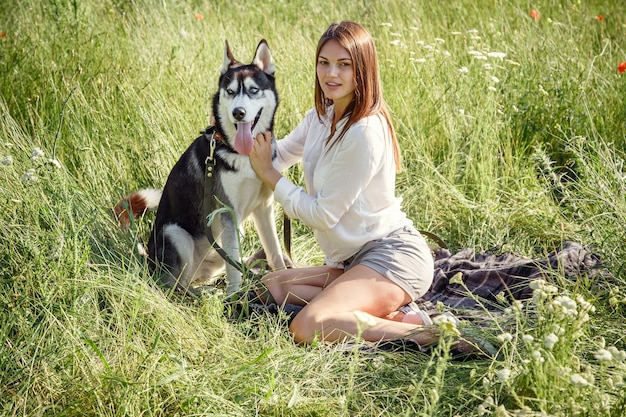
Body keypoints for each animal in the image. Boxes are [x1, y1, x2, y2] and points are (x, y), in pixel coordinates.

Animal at [114, 39, 286, 292]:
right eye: (230, 92)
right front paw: (236, 295)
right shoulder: (227, 212)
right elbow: (234, 269)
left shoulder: (263, 207)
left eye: (253, 90)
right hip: (176, 234)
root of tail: (149, 263)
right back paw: (203, 292)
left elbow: (275, 251)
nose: (238, 112)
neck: (241, 153)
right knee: (178, 285)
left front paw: (287, 278)